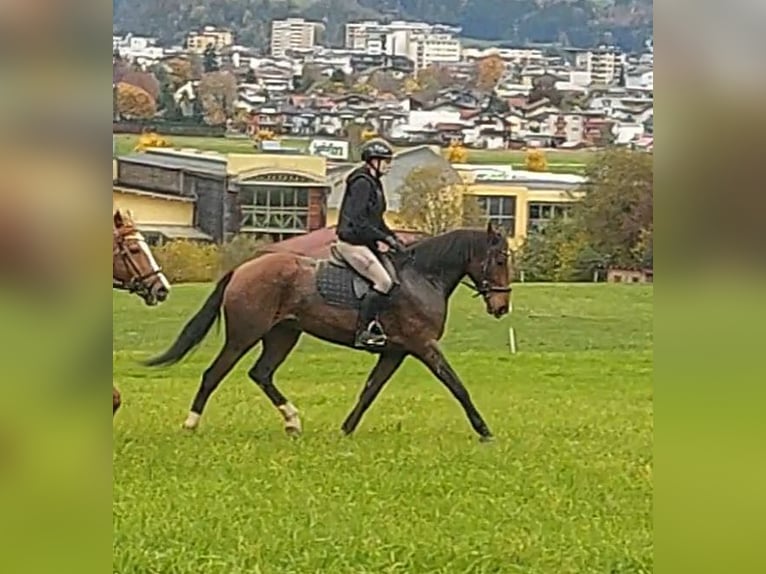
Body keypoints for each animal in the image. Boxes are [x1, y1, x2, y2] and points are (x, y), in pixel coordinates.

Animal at [144, 222, 512, 440]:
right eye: (499, 260)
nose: (501, 307)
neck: (422, 276)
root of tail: (242, 269)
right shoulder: (423, 344)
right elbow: (456, 385)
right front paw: (484, 430)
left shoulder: (396, 351)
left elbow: (370, 390)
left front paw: (346, 429)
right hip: (244, 336)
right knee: (214, 374)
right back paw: (191, 423)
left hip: (283, 335)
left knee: (261, 374)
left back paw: (292, 421)